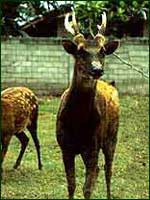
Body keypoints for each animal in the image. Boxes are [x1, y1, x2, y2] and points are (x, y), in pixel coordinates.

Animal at [56, 9, 119, 198]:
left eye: (103, 51)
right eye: (80, 51)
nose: (97, 69)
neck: (77, 122)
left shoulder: (92, 146)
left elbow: (87, 188)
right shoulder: (65, 147)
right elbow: (71, 185)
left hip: (112, 136)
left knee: (107, 170)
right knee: (99, 170)